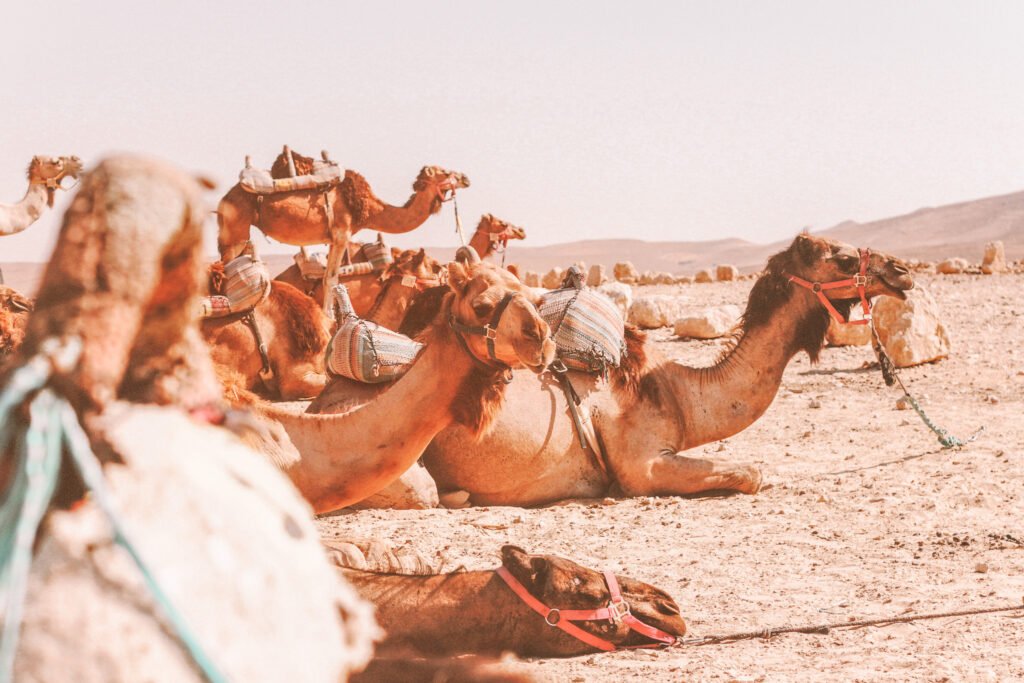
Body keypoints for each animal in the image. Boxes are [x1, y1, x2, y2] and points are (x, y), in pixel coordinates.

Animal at [220, 149, 471, 313]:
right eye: (444, 172)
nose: (465, 178)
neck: (370, 210)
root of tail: (224, 199)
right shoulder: (342, 232)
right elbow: (331, 280)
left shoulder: (333, 239)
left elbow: (329, 279)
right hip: (236, 231)